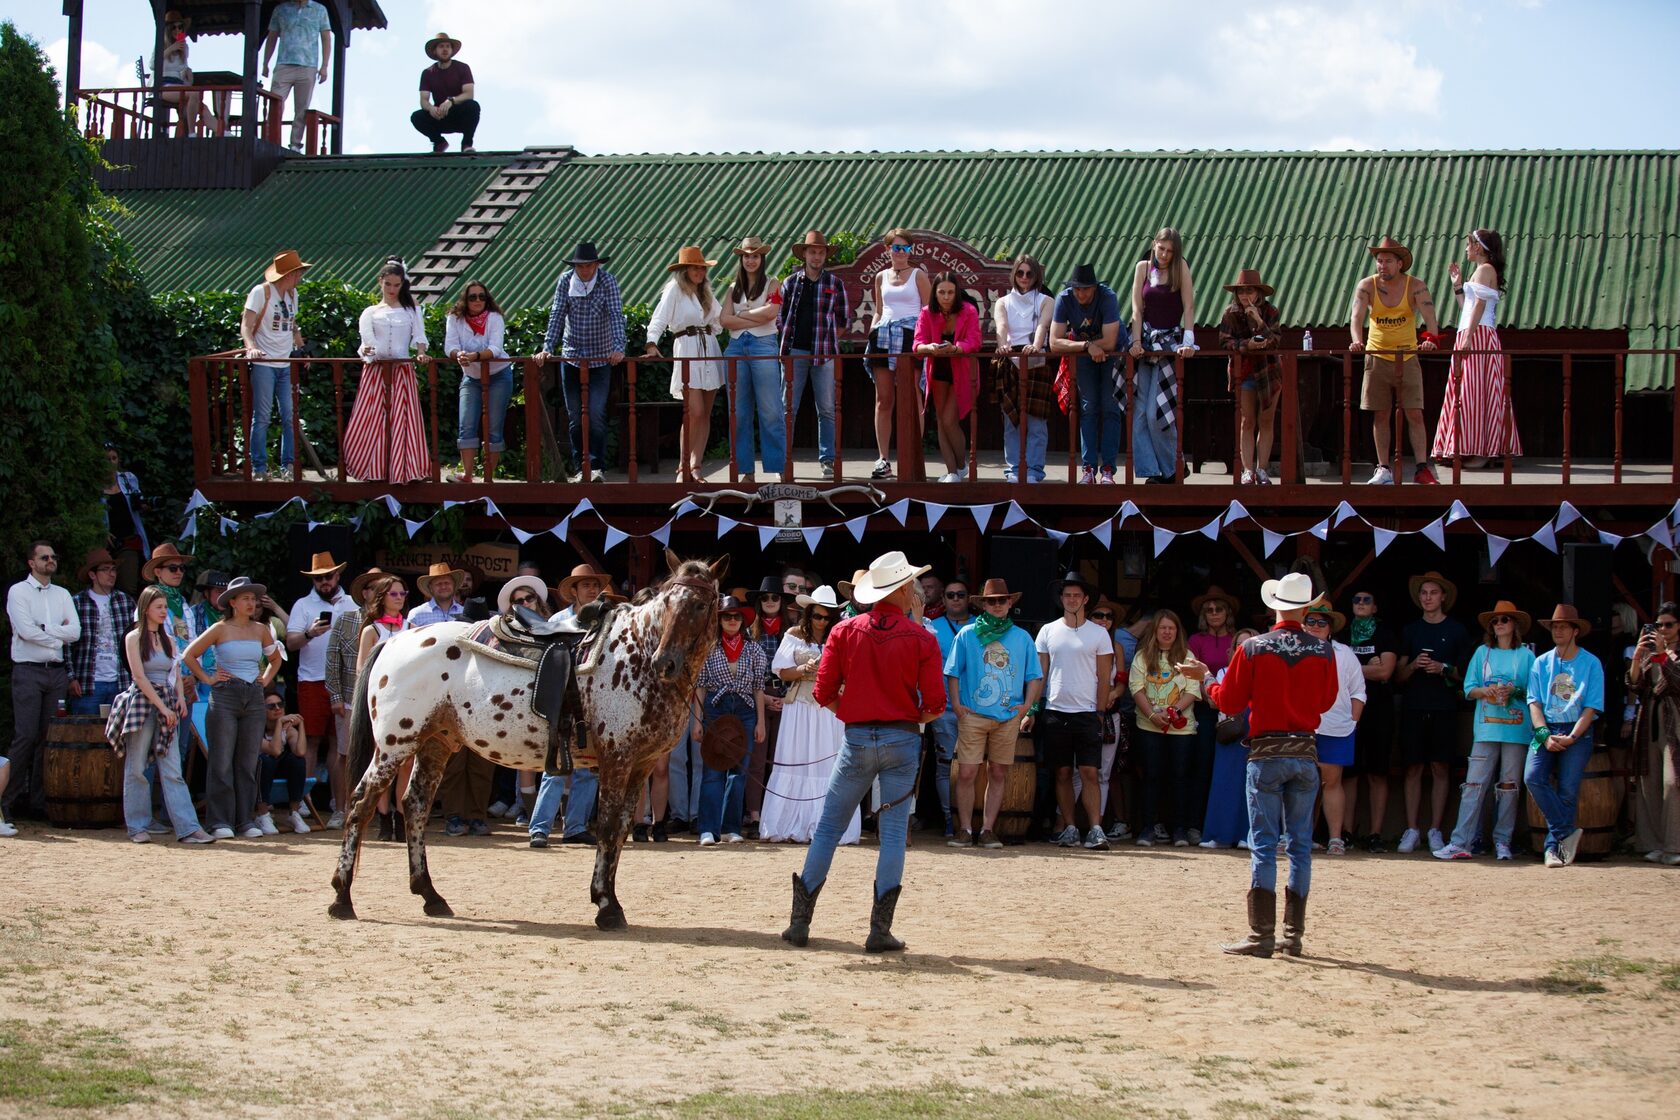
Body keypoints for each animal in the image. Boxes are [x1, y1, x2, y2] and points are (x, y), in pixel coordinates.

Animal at [327, 550, 722, 926]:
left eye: (701, 605)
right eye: (668, 602)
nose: (664, 663)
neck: (637, 653)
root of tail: (394, 641)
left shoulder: (641, 765)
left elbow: (622, 830)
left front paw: (609, 899)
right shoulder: (617, 760)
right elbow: (609, 828)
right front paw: (606, 906)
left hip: (435, 743)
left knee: (415, 805)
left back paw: (430, 895)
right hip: (395, 745)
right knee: (361, 804)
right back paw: (342, 898)